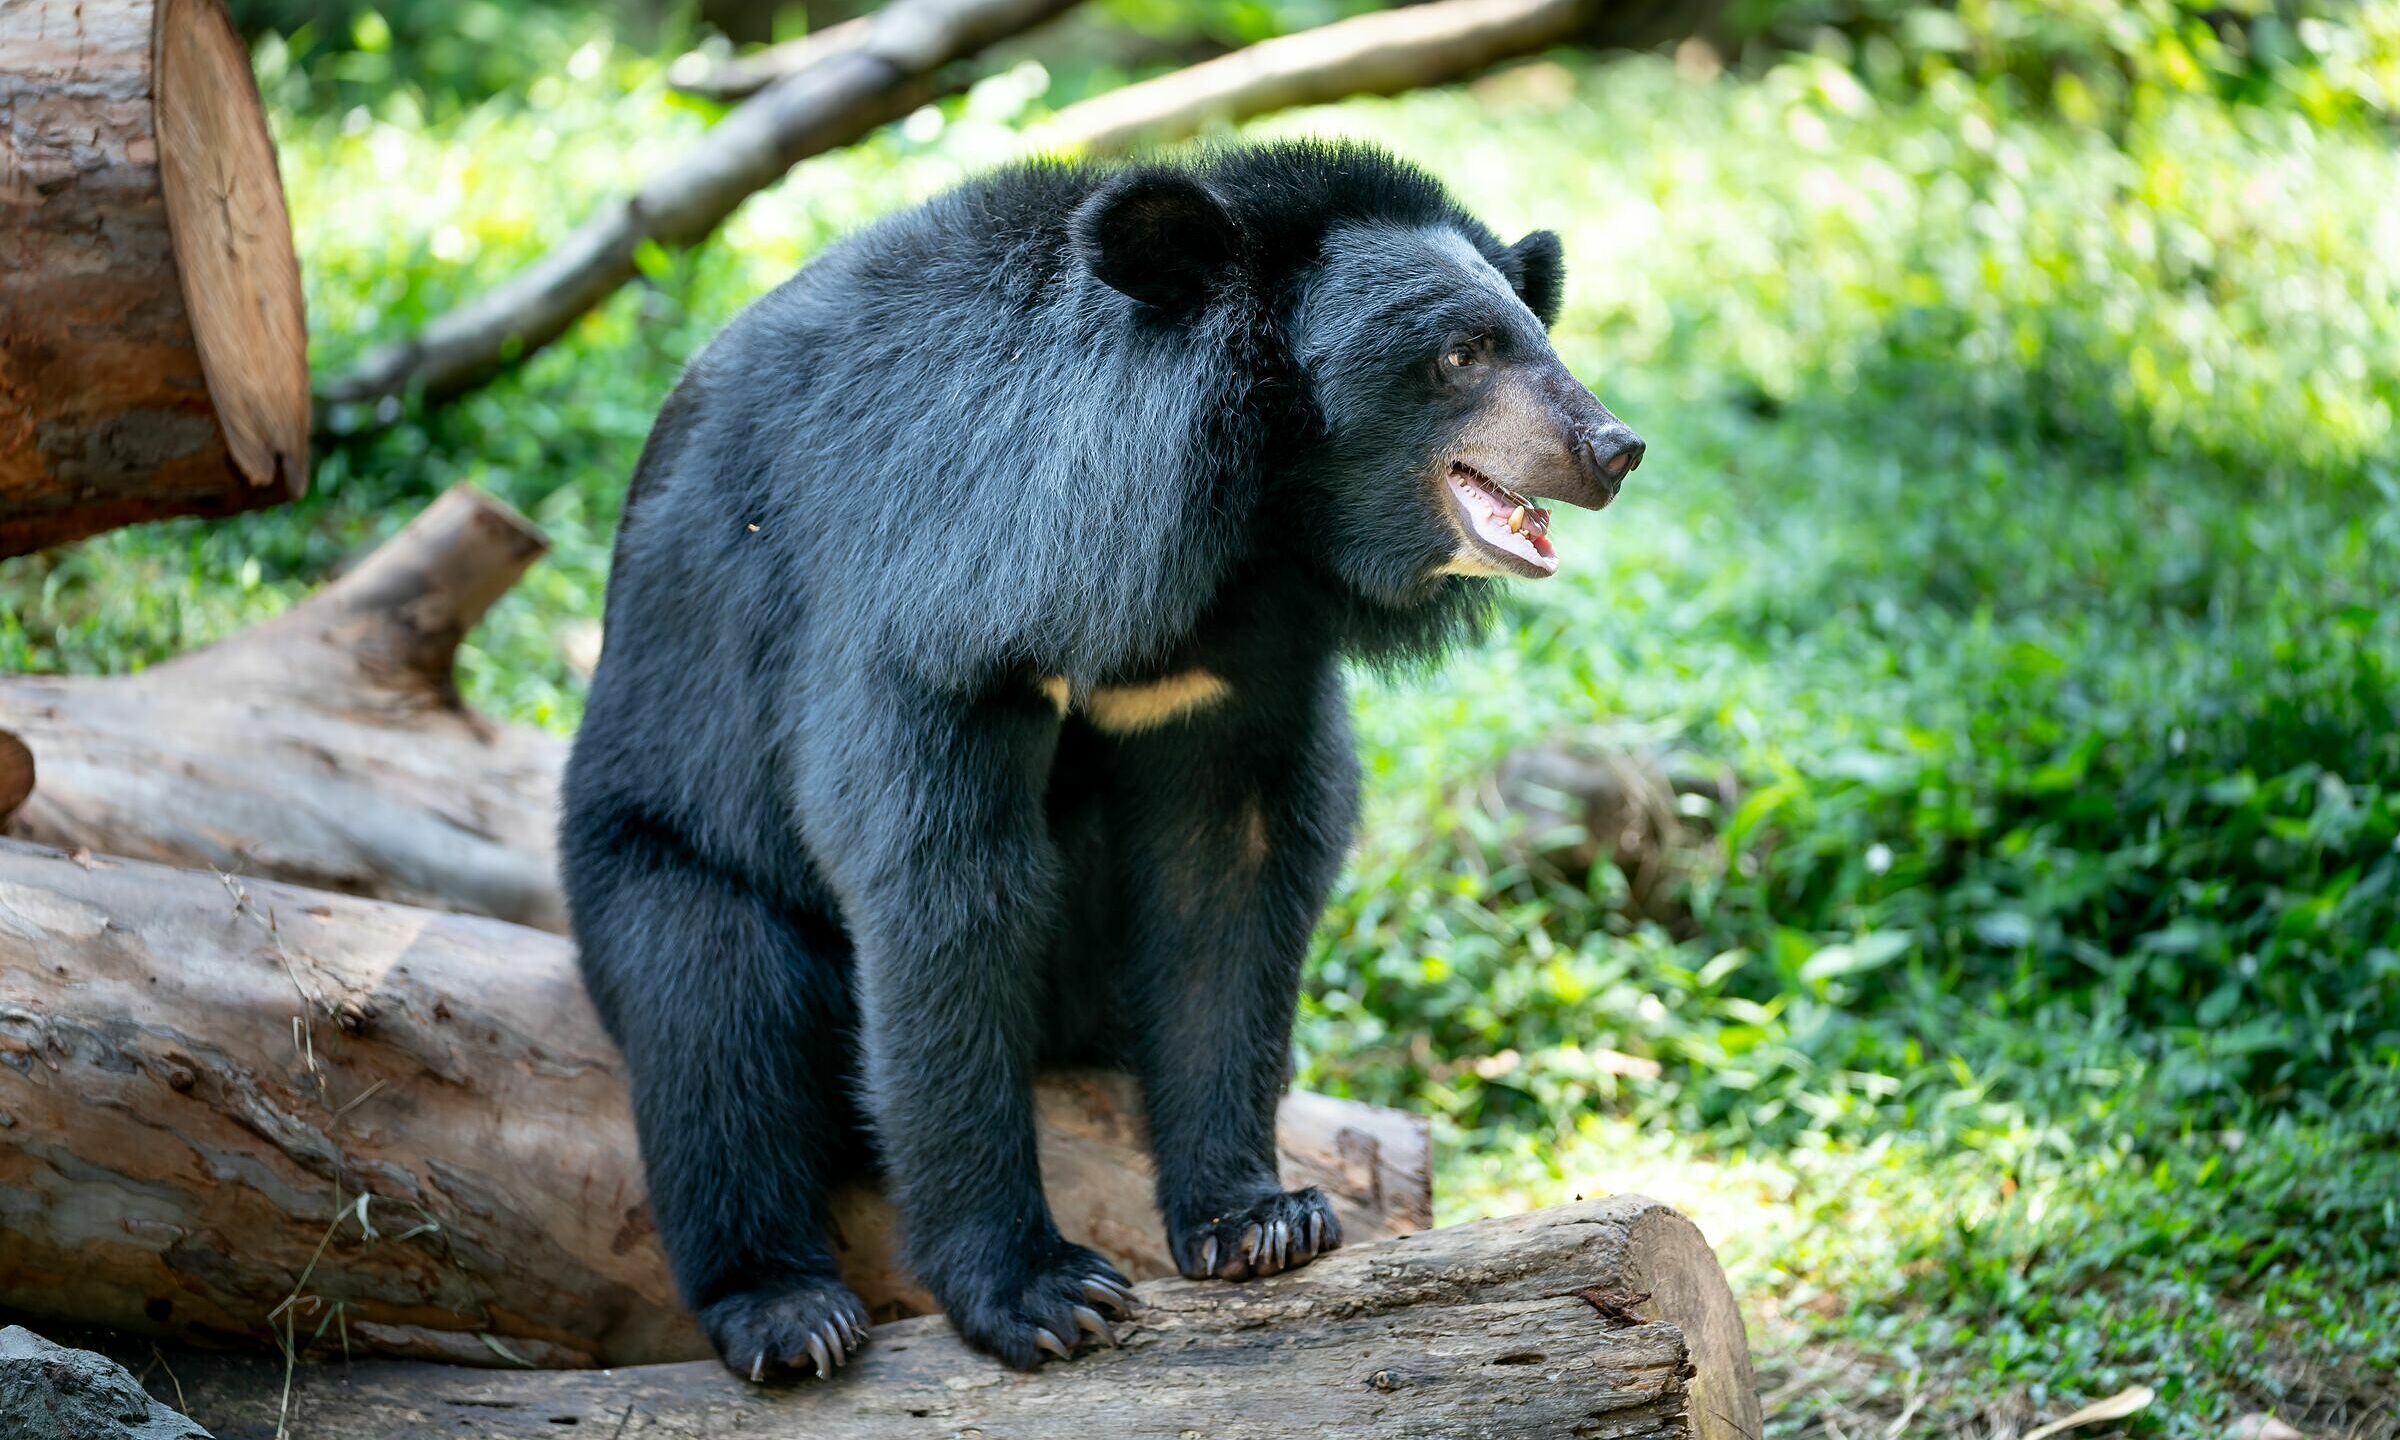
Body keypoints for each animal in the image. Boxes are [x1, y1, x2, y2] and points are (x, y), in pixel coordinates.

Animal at [559, 140, 1644, 1380]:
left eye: (1536, 335)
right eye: (1462, 353)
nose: (1614, 449)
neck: (1239, 520)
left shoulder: (1240, 662)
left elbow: (1233, 873)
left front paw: (1259, 1219)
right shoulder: (925, 608)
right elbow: (937, 888)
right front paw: (1038, 1291)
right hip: (652, 840)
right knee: (709, 1010)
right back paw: (789, 1312)